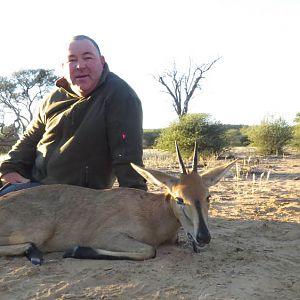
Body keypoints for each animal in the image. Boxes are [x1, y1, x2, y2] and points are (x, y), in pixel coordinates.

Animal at [0, 143, 236, 264]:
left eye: (208, 196)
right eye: (179, 198)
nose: (203, 237)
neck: (152, 214)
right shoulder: (107, 236)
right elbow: (149, 251)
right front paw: (75, 250)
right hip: (40, 230)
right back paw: (34, 253)